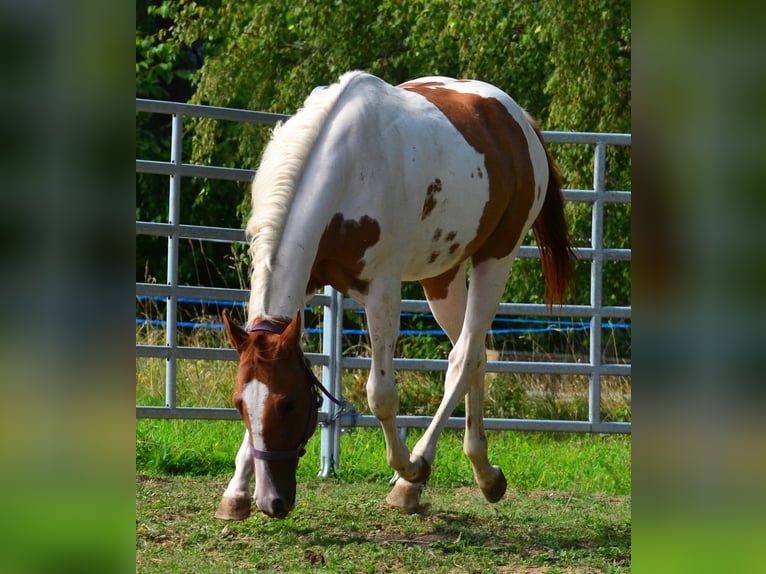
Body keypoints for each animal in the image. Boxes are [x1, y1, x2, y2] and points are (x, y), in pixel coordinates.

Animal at [214, 71, 575, 520]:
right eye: (239, 405)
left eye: (289, 405)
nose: (272, 501)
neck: (345, 166)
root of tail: (518, 119)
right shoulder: (305, 283)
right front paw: (236, 492)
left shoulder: (382, 291)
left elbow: (381, 395)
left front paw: (409, 467)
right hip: (442, 276)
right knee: (475, 354)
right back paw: (484, 473)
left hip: (496, 258)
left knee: (462, 358)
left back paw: (413, 477)